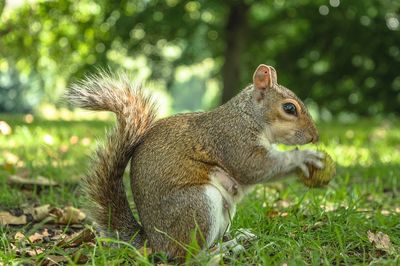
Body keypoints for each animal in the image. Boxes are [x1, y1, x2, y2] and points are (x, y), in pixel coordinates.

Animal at [65, 64, 322, 258]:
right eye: (289, 108)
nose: (314, 136)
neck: (248, 116)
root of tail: (154, 243)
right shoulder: (231, 139)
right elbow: (254, 168)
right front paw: (302, 157)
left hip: (223, 212)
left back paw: (234, 240)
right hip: (198, 203)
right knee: (189, 256)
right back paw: (218, 253)